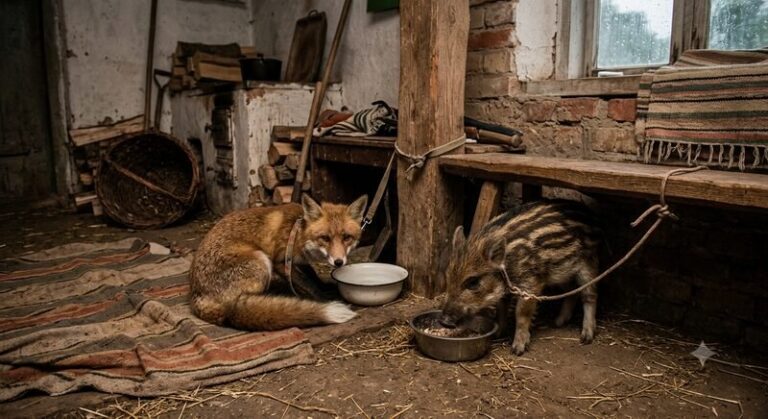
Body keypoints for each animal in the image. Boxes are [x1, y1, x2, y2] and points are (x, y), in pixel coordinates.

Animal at [189, 193, 368, 330]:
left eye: (346, 237)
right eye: (325, 238)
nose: (339, 262)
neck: (298, 232)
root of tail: (198, 297)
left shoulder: (300, 261)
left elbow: (312, 277)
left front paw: (325, 286)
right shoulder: (280, 261)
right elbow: (308, 284)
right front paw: (323, 298)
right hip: (261, 260)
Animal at [440, 200, 602, 355]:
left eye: (473, 282)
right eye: (448, 276)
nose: (444, 321)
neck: (508, 264)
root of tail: (593, 217)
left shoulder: (530, 284)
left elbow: (521, 314)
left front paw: (518, 349)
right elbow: (501, 308)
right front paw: (498, 333)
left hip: (588, 264)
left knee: (589, 295)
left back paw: (586, 337)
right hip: (561, 272)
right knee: (571, 291)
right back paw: (558, 322)